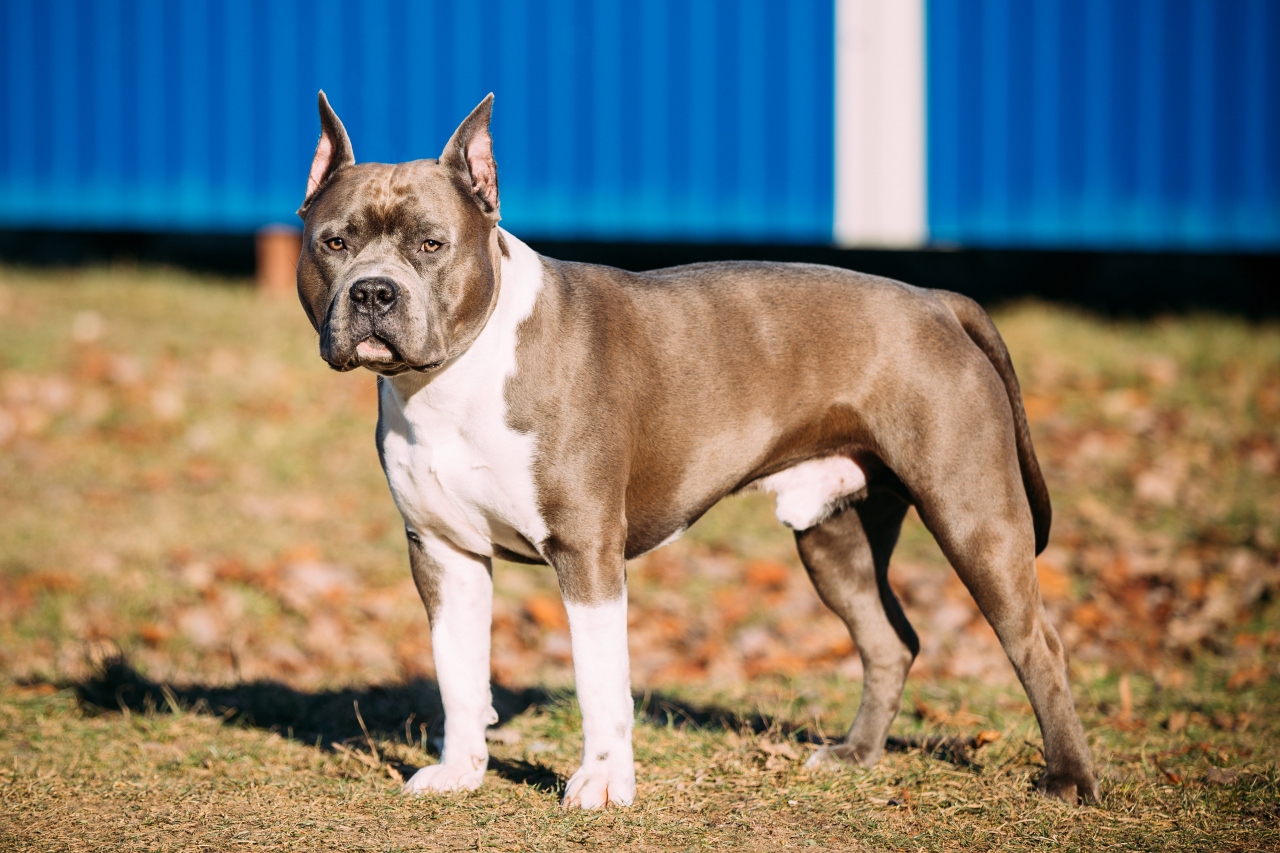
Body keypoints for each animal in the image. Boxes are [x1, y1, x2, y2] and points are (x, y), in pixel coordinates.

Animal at [293, 91, 1100, 804]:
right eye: (334, 243)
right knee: (888, 640)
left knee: (1037, 642)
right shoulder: (443, 552)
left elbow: (600, 680)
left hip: (973, 517)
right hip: (834, 537)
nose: (373, 292)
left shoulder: (587, 551)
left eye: (431, 245)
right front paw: (460, 772)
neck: (452, 377)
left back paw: (1068, 780)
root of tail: (936, 299)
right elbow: (458, 674)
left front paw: (602, 784)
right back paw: (855, 755)